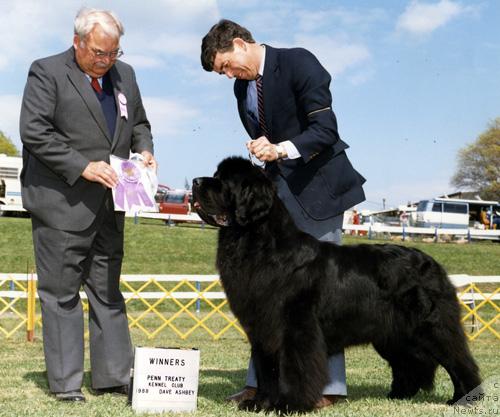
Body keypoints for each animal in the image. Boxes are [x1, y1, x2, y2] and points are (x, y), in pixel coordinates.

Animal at [191, 157, 480, 412]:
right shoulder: (262, 328)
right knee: (411, 362)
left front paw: (290, 404)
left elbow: (295, 368)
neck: (257, 243)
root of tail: (433, 262)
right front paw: (259, 403)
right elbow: (266, 370)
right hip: (393, 334)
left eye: (223, 181)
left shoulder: (297, 328)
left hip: (432, 326)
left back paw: (465, 399)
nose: (195, 181)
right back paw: (399, 394)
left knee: (458, 359)